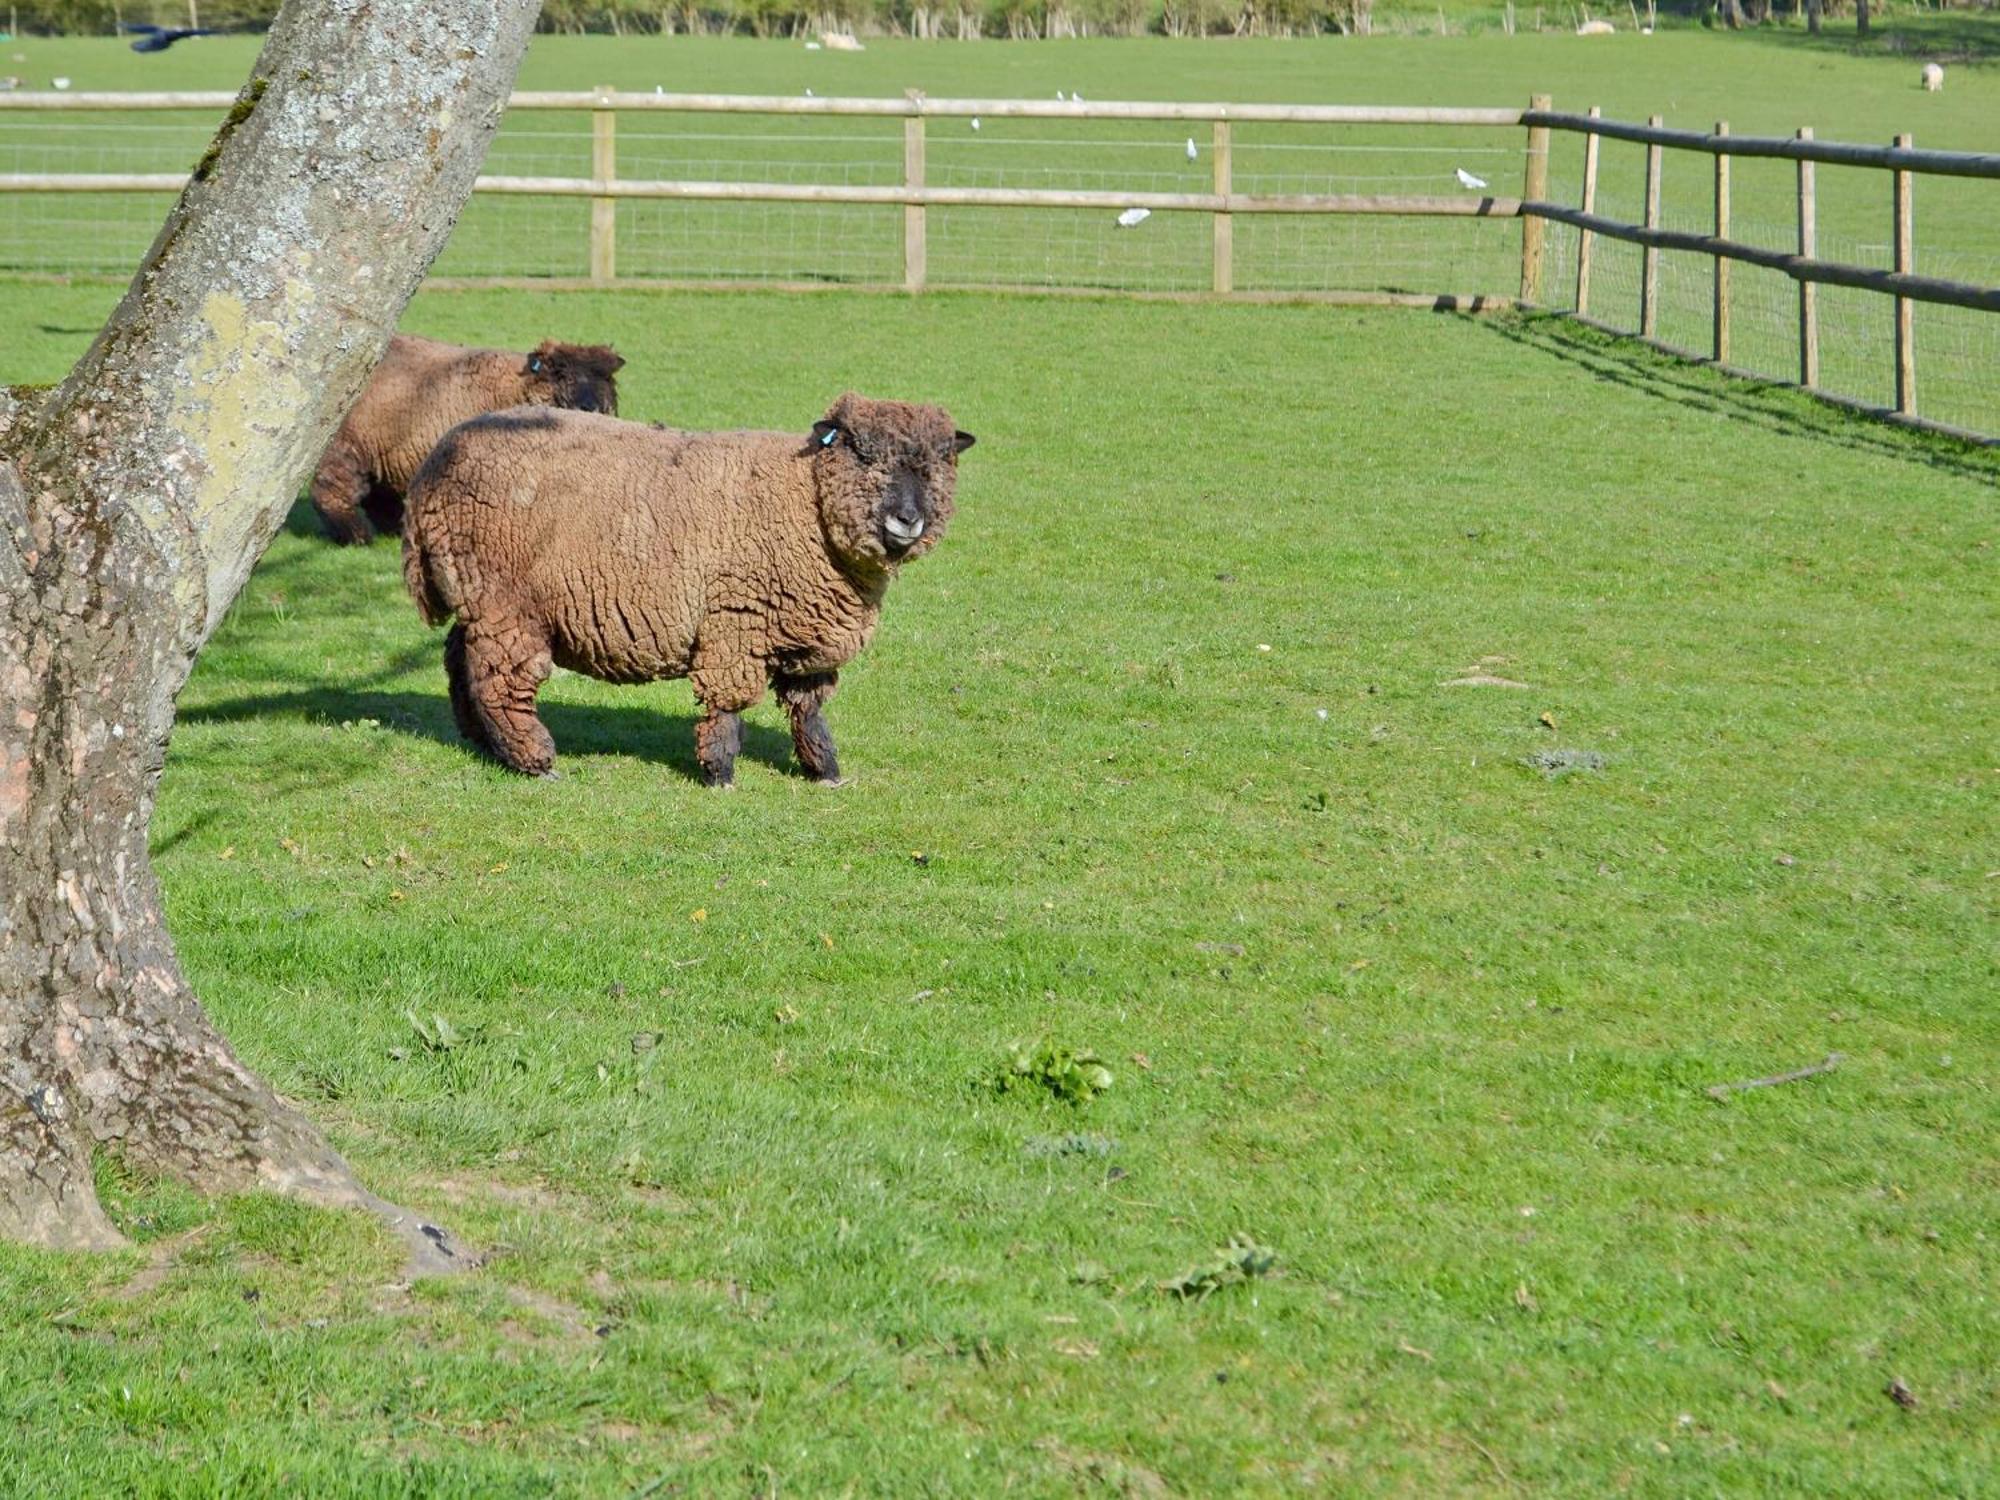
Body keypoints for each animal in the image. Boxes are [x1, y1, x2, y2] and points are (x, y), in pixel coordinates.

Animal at [312, 334, 620, 548]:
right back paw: (355, 534)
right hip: (343, 445)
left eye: (607, 379)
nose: (592, 407)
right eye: (559, 373)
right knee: (332, 490)